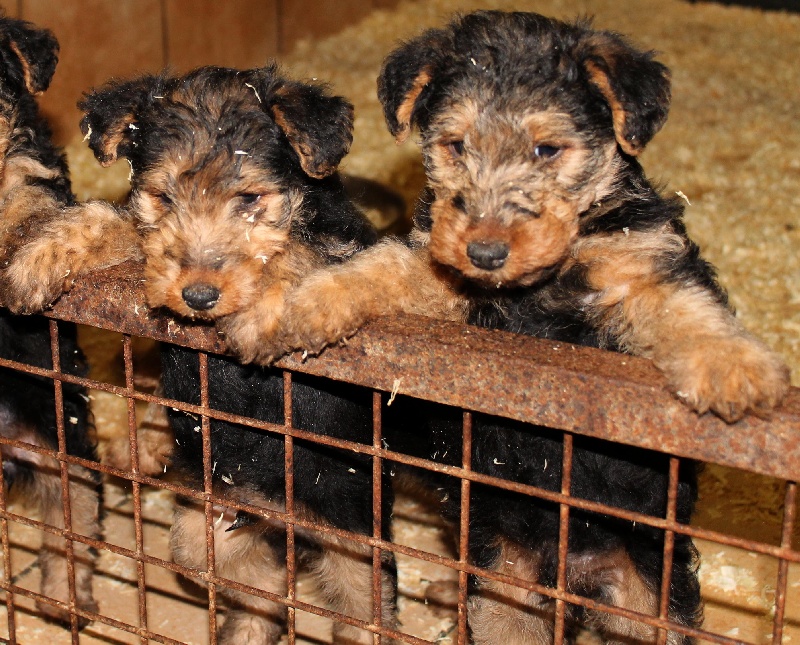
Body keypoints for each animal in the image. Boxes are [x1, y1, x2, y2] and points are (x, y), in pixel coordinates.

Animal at [54, 64, 388, 640]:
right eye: (163, 198)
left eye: (250, 199)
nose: (199, 296)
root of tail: (279, 515)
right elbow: (124, 227)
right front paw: (43, 252)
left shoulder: (342, 251)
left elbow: (300, 251)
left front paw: (261, 312)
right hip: (211, 512)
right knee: (251, 577)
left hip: (349, 521)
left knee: (364, 604)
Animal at [260, 11, 788, 644]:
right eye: (456, 145)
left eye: (547, 148)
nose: (485, 252)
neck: (535, 288)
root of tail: (572, 577)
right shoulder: (443, 277)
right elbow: (385, 267)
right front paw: (307, 301)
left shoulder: (641, 262)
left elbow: (687, 307)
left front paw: (735, 368)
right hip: (507, 586)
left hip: (644, 593)